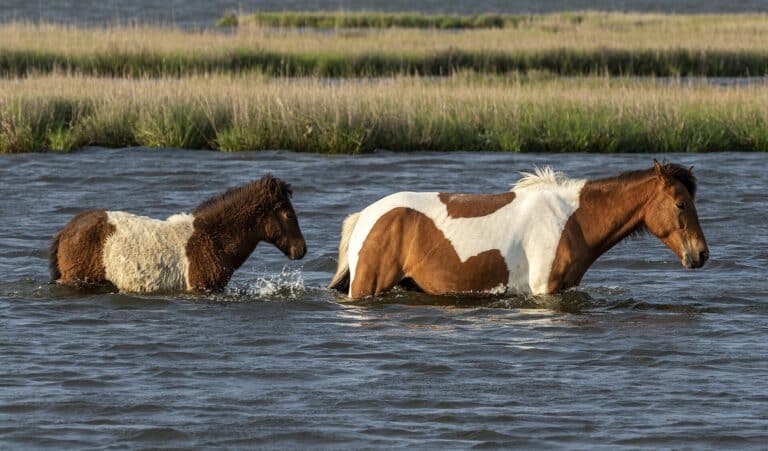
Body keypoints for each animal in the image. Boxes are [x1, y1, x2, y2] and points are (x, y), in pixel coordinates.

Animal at [329, 160, 708, 300]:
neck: (572, 220)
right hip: (367, 285)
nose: (701, 254)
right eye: (680, 204)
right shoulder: (544, 290)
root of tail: (366, 216)